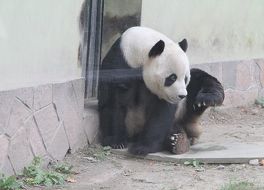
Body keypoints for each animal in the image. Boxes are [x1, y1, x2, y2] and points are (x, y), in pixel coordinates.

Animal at [98, 26, 224, 155]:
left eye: (185, 78)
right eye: (172, 78)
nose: (182, 96)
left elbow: (161, 113)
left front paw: (143, 147)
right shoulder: (119, 65)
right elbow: (115, 103)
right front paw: (117, 142)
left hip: (183, 110)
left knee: (200, 81)